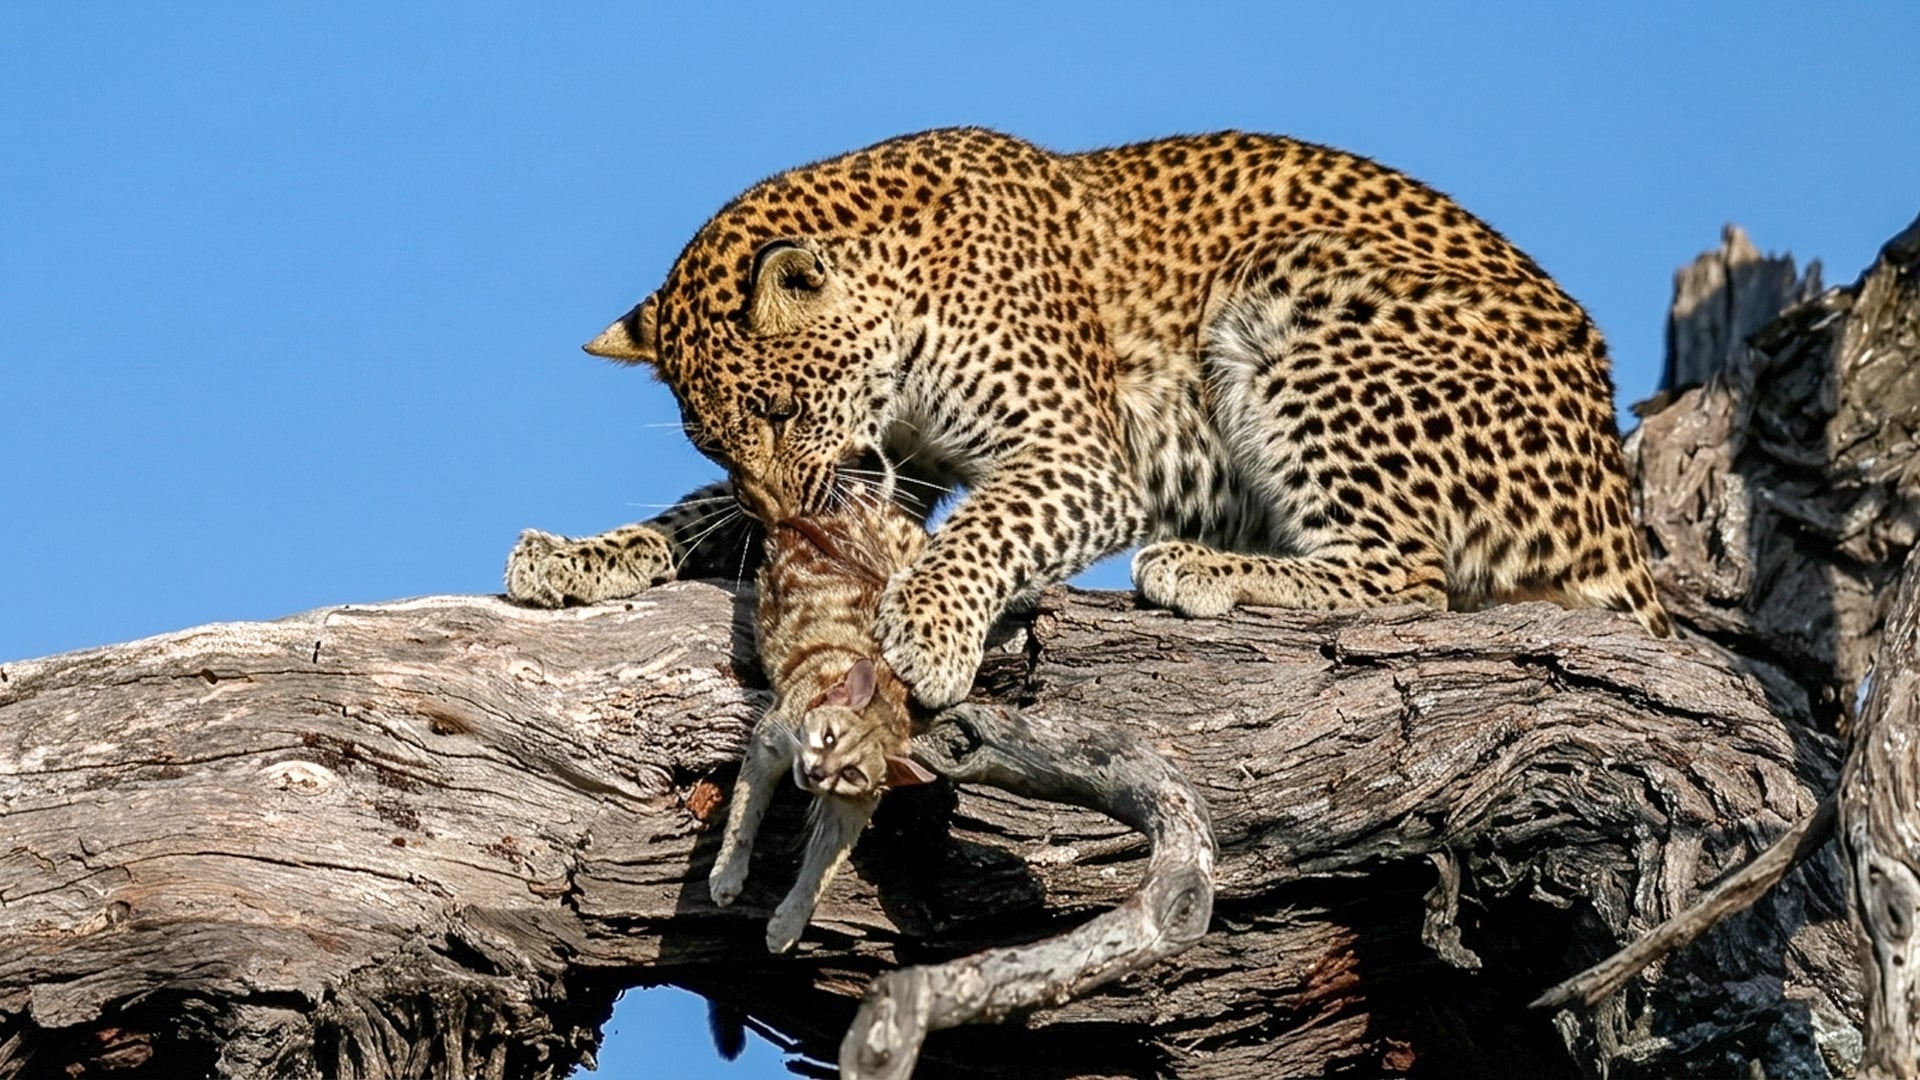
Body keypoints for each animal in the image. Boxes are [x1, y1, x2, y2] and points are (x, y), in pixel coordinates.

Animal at [506, 127, 1671, 710]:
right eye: (718, 437)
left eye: (782, 410)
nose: (787, 516)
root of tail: (1617, 515)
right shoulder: (894, 465)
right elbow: (700, 511)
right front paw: (581, 554)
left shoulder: (1077, 455)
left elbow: (983, 531)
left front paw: (928, 634)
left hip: (1291, 297)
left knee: (1412, 577)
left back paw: (1204, 565)